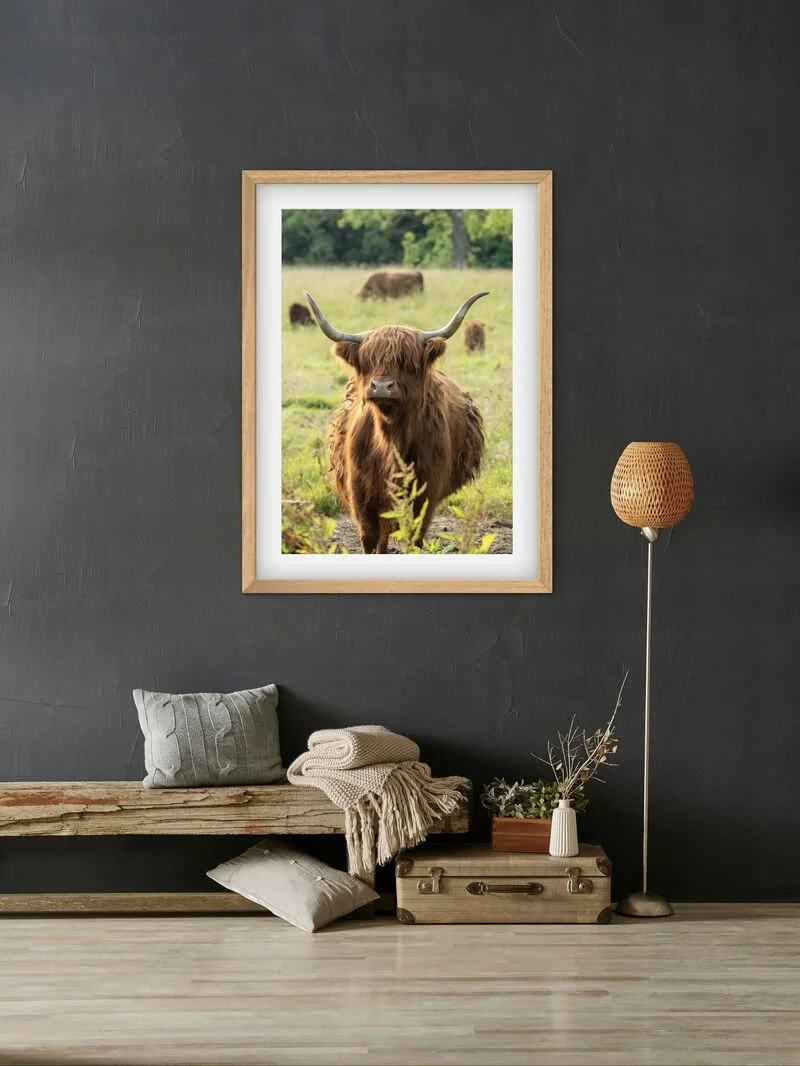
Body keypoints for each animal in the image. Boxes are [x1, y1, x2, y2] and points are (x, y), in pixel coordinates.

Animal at [304, 289, 488, 554]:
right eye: (368, 361)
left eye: (407, 362)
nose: (382, 386)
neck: (391, 439)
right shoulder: (360, 491)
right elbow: (369, 537)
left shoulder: (426, 492)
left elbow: (413, 537)